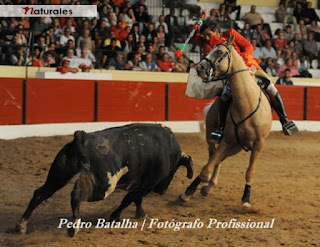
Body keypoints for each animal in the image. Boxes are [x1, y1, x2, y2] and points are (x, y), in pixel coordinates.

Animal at [15, 124, 194, 236]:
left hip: (58, 177)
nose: (161, 191)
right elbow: (129, 199)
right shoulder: (147, 184)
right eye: (173, 171)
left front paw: (140, 214)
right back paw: (74, 227)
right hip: (103, 186)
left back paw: (21, 226)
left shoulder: (140, 184)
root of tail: (82, 138)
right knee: (76, 196)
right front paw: (115, 217)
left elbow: (135, 199)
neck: (170, 151)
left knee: (39, 194)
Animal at [181, 35, 272, 206]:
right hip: (214, 137)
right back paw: (207, 184)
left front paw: (246, 198)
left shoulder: (258, 144)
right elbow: (206, 168)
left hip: (236, 147)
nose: (200, 68)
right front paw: (188, 192)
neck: (248, 104)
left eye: (219, 52)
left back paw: (209, 186)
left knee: (219, 160)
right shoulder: (227, 139)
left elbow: (250, 172)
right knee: (213, 157)